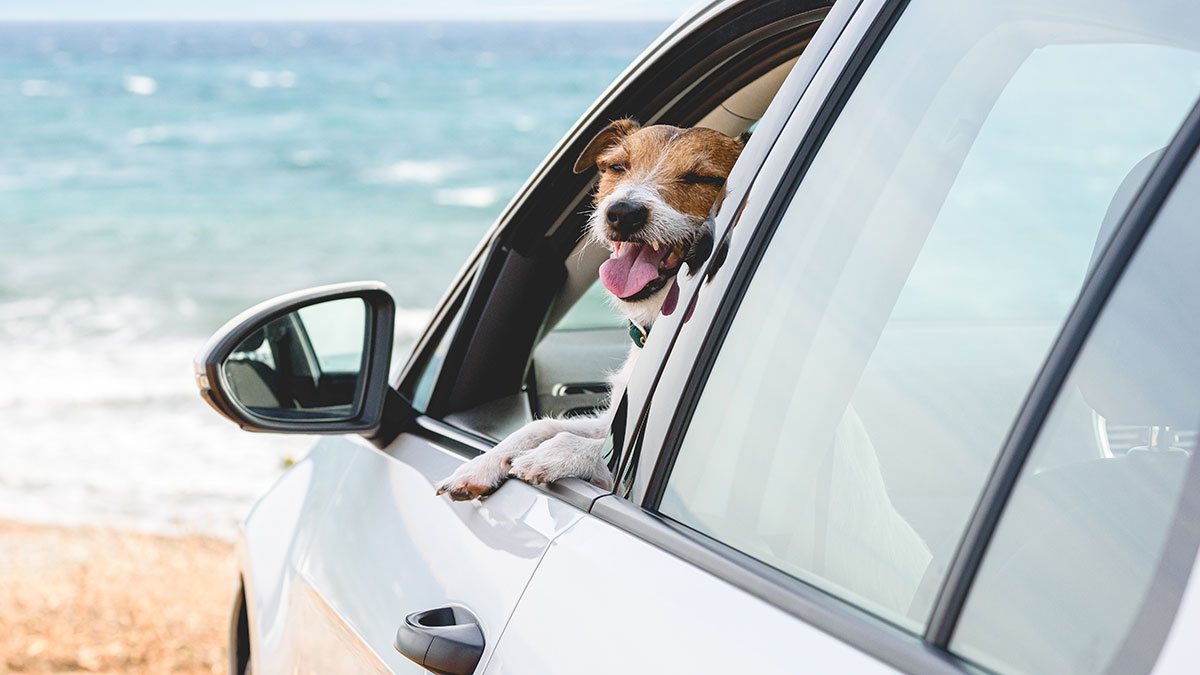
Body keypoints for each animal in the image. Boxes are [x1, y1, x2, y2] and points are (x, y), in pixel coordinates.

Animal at [436, 119, 744, 499]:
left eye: (703, 178)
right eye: (617, 166)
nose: (623, 213)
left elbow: (598, 452)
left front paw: (555, 454)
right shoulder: (610, 420)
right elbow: (541, 427)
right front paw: (482, 464)